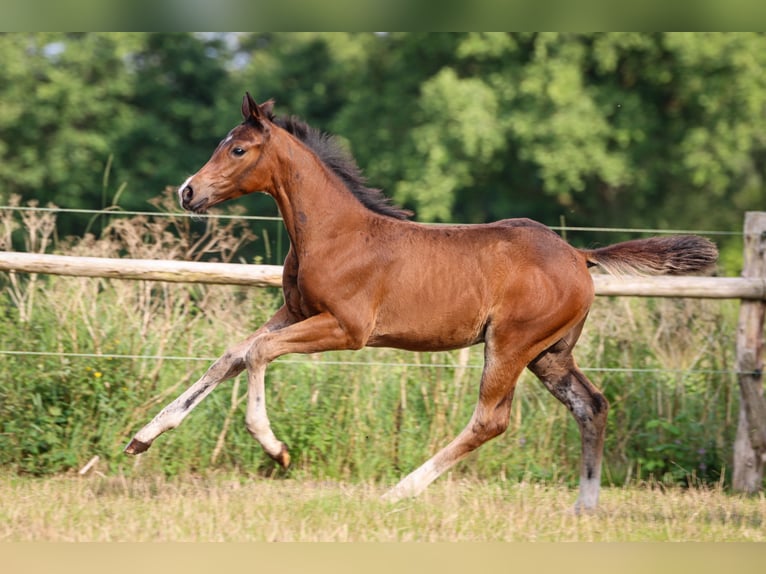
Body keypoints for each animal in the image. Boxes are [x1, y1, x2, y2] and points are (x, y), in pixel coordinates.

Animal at [126, 94, 720, 512]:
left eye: (238, 149)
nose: (188, 192)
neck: (334, 232)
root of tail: (580, 253)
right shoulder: (295, 312)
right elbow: (232, 354)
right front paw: (142, 437)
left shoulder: (346, 329)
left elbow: (257, 354)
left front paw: (275, 448)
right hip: (551, 354)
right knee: (591, 405)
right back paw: (584, 506)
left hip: (511, 344)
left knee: (490, 421)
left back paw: (400, 490)